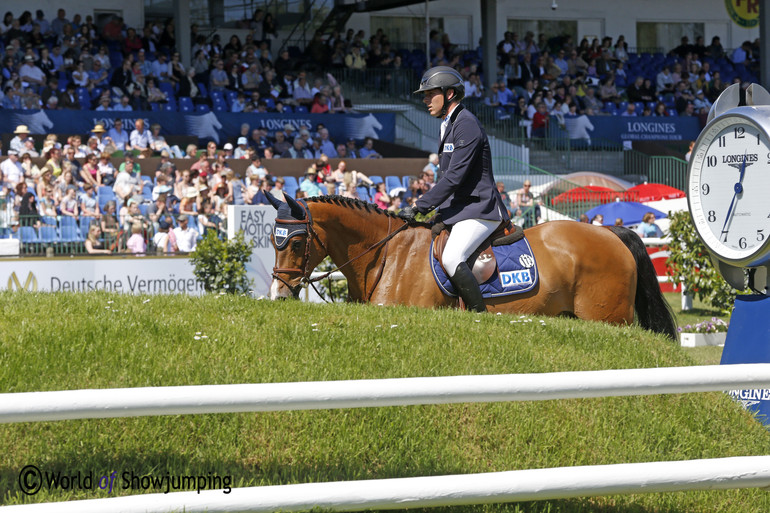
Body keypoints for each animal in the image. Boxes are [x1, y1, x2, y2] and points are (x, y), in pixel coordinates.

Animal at [268, 193, 676, 340]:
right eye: (273, 240)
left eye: (297, 243)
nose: (278, 295)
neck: (385, 256)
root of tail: (610, 232)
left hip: (609, 317)